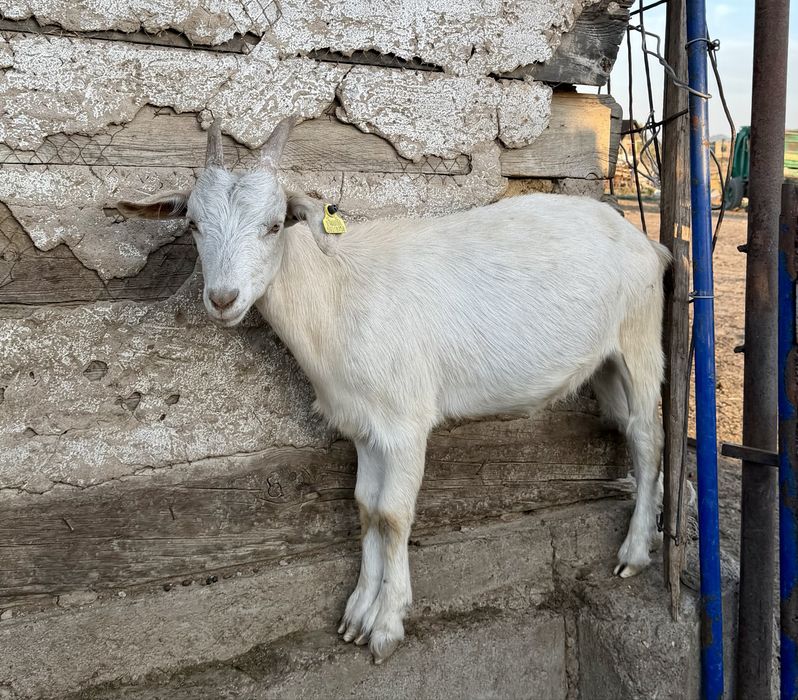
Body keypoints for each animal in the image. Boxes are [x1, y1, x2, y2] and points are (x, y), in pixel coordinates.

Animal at [118, 118, 671, 664]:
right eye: (192, 223)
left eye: (274, 224)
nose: (222, 299)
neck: (337, 291)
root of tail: (646, 241)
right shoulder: (365, 424)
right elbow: (366, 507)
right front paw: (357, 614)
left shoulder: (405, 423)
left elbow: (393, 514)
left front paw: (386, 625)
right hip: (603, 363)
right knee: (629, 427)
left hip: (640, 336)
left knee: (648, 437)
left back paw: (634, 552)